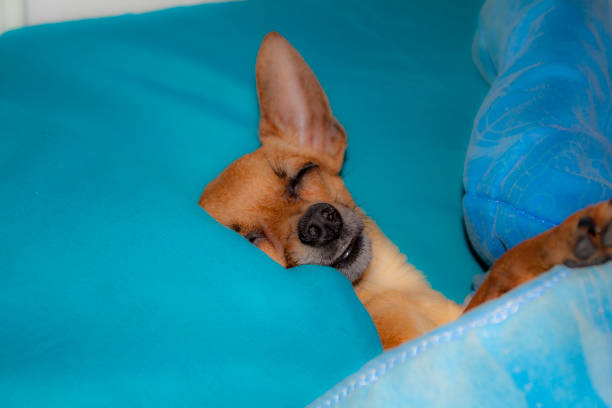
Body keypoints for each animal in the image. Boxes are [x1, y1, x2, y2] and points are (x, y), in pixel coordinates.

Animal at [200, 32, 612, 350]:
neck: (388, 288)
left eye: (303, 174)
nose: (319, 223)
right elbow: (506, 263)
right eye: (251, 242)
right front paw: (571, 234)